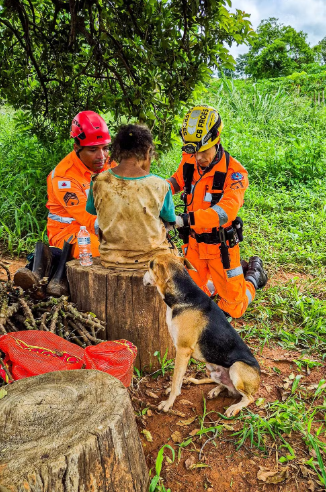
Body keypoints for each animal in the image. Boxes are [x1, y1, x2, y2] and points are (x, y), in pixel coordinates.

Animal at [143, 252, 260, 418]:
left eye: (148, 266)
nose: (142, 277)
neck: (183, 296)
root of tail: (259, 380)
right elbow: (178, 379)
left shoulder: (183, 350)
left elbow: (175, 379)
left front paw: (168, 403)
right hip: (212, 369)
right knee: (229, 389)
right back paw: (215, 390)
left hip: (236, 367)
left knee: (248, 397)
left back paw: (234, 407)